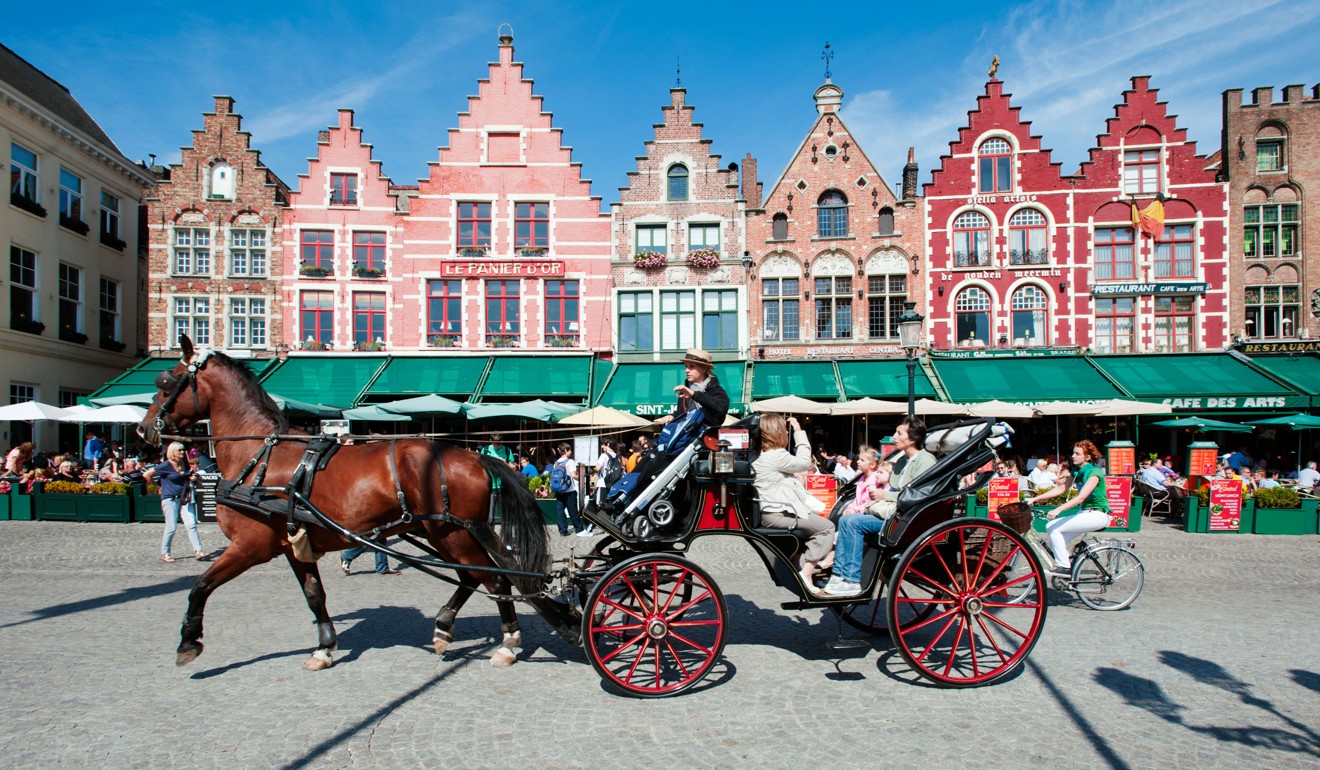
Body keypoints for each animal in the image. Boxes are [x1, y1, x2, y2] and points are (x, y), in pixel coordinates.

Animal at [136, 335, 575, 668]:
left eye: (166, 381)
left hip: (451, 532)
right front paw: (324, 648)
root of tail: (475, 455)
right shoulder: (294, 546)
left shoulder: (250, 545)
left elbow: (200, 585)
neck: (257, 456)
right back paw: (444, 628)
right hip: (445, 533)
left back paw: (507, 643)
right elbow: (315, 595)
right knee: (476, 577)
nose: (143, 430)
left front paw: (188, 641)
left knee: (494, 578)